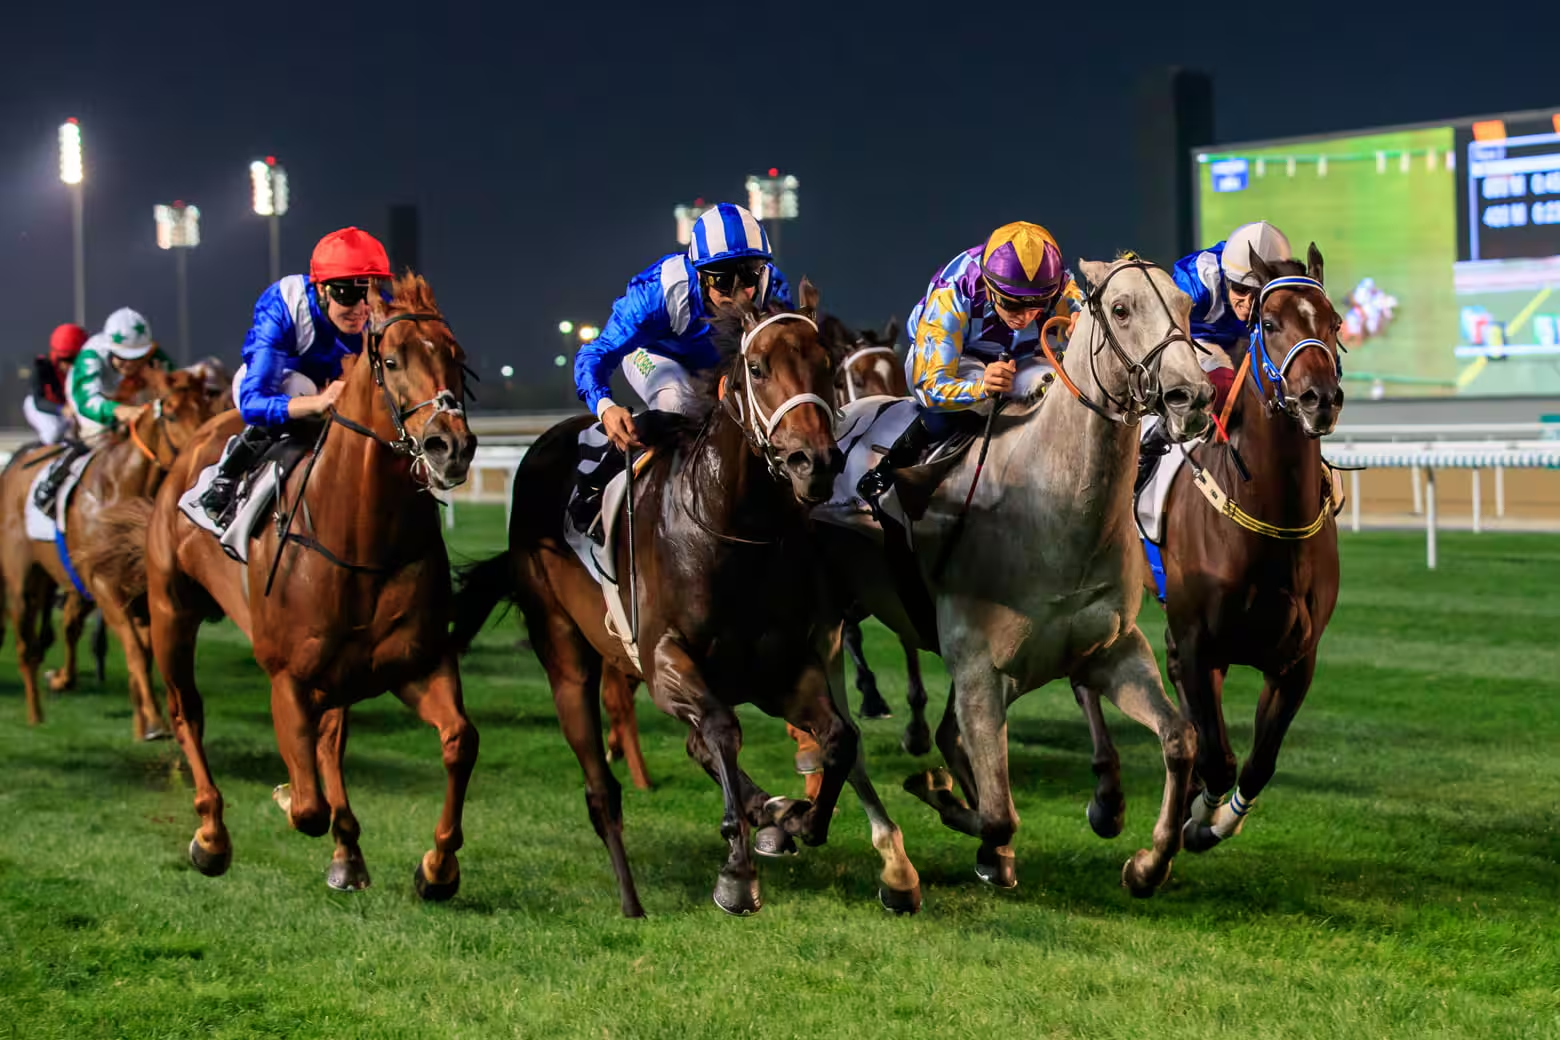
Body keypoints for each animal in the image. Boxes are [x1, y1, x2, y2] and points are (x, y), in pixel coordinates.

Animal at [0, 367, 217, 735]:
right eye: (172, 413)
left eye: (205, 407)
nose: (203, 453)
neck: (120, 489)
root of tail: (18, 463)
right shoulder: (104, 586)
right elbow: (134, 648)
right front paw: (154, 722)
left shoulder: (142, 592)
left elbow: (145, 651)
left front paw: (142, 721)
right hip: (23, 583)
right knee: (27, 647)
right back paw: (35, 714)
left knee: (68, 626)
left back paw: (60, 680)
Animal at [92, 273, 478, 896]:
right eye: (392, 360)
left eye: (456, 357)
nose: (453, 446)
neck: (362, 539)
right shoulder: (288, 677)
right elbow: (306, 807)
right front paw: (283, 797)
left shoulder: (415, 661)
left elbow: (459, 741)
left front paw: (436, 869)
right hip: (171, 609)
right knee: (186, 710)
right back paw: (211, 836)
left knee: (330, 738)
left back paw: (347, 852)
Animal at [453, 281, 923, 918]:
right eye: (757, 367)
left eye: (826, 364)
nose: (815, 462)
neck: (731, 532)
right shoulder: (665, 663)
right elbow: (724, 730)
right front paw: (738, 871)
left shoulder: (783, 667)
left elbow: (839, 740)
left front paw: (800, 818)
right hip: (564, 649)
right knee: (602, 784)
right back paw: (632, 897)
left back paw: (769, 810)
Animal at [817, 255, 1214, 895]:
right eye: (1121, 309)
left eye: (1184, 305)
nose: (1191, 395)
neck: (1052, 510)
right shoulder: (980, 668)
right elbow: (999, 814)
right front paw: (968, 823)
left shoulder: (1112, 649)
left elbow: (1180, 739)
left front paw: (1148, 863)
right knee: (844, 739)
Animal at [1077, 246, 1343, 855]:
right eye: (1270, 323)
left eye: (1335, 322)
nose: (1319, 398)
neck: (1271, 526)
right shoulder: (1204, 644)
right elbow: (1219, 758)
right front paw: (1198, 816)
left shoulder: (1296, 660)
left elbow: (1258, 763)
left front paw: (1214, 819)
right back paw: (1107, 797)